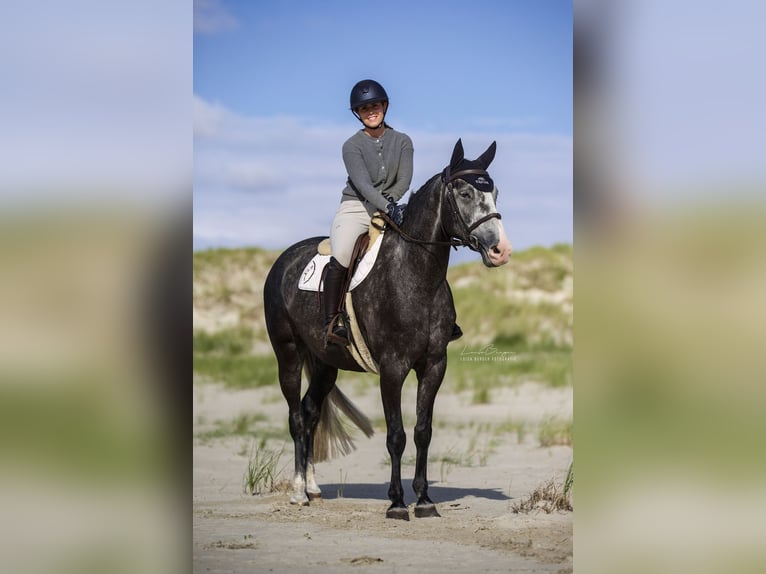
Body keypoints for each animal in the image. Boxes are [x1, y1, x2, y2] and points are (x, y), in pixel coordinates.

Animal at [268, 141, 512, 520]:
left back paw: (312, 488)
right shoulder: (392, 369)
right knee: (296, 416)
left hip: (324, 364)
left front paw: (424, 500)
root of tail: (284, 260)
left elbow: (423, 431)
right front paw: (397, 503)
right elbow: (396, 435)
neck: (415, 275)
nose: (500, 251)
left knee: (310, 413)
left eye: (495, 192)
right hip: (289, 354)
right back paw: (297, 493)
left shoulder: (434, 366)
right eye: (465, 192)